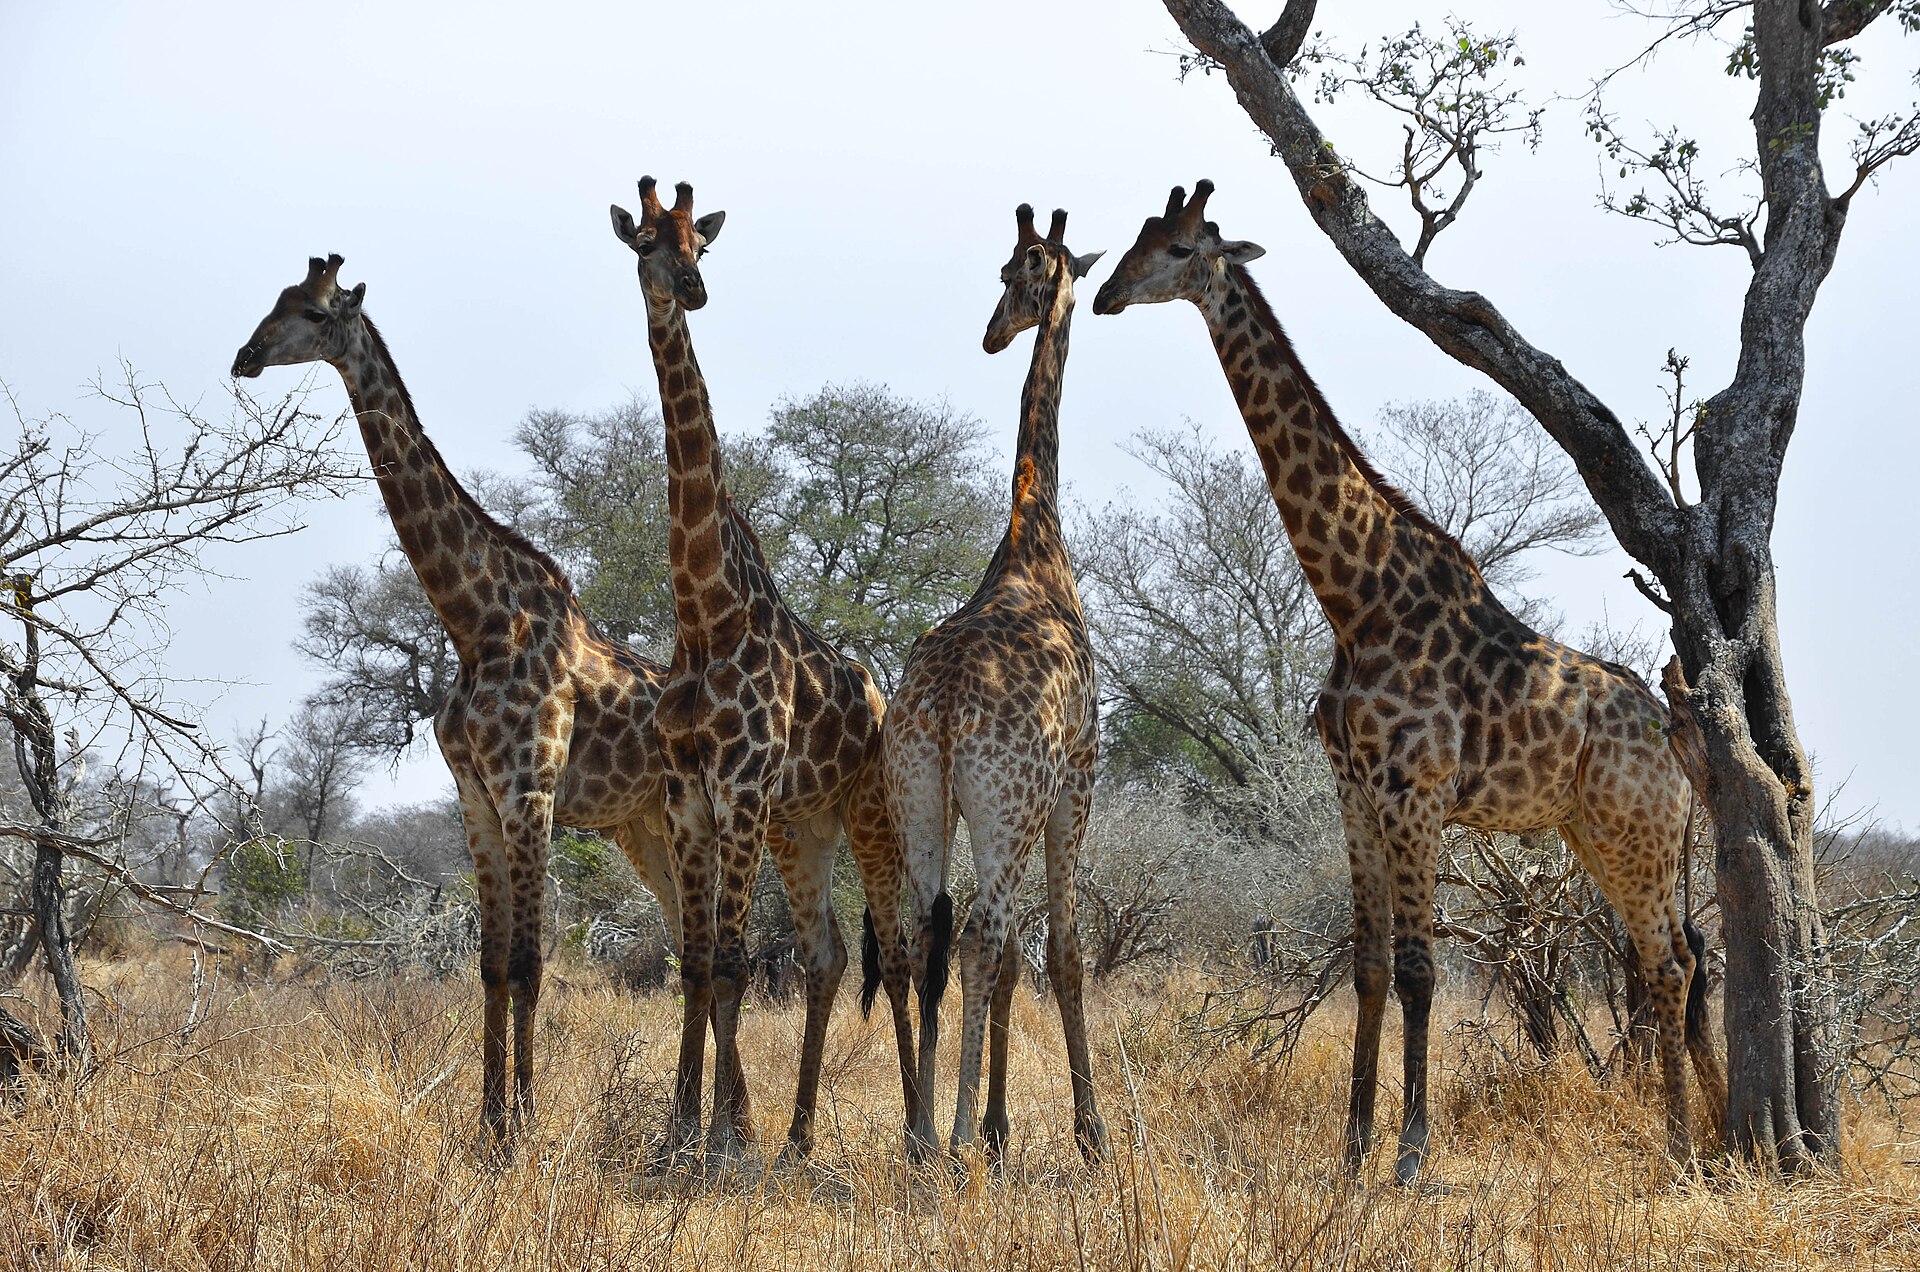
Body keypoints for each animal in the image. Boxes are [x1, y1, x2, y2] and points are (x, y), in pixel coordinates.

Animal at [231, 255, 680, 1146]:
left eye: (311, 311)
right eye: (274, 299)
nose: (245, 356)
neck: (475, 625)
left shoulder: (530, 791)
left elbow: (531, 964)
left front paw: (528, 1129)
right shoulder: (475, 795)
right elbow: (489, 965)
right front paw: (489, 1126)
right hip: (646, 829)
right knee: (704, 949)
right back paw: (697, 1122)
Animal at [609, 177, 919, 1165]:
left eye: (701, 246)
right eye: (646, 244)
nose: (692, 292)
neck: (705, 614)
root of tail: (883, 696)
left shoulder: (739, 789)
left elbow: (736, 962)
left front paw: (717, 1140)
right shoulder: (689, 797)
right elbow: (700, 963)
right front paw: (683, 1131)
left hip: (867, 815)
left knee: (898, 958)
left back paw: (915, 1133)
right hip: (801, 827)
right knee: (828, 958)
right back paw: (798, 1139)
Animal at [1092, 181, 1728, 1184]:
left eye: (1182, 247)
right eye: (1135, 240)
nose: (1105, 295)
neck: (1356, 600)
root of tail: (1672, 737)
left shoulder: (1416, 789)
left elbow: (1423, 971)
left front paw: (1411, 1154)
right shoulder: (1354, 788)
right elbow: (1368, 966)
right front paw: (1351, 1147)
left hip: (1635, 833)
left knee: (1666, 965)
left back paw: (1678, 1150)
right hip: (1603, 834)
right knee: (1684, 956)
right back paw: (1711, 1132)